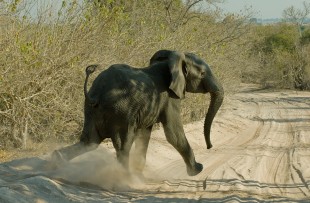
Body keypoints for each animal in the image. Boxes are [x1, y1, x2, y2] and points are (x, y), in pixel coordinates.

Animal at [52, 50, 224, 177]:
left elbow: (145, 134)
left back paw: (56, 161)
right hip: (120, 111)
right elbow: (173, 133)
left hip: (91, 110)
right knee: (123, 145)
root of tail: (97, 93)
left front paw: (140, 173)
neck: (171, 60)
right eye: (202, 74)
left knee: (90, 142)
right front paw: (197, 170)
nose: (210, 146)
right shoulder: (169, 97)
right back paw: (125, 178)